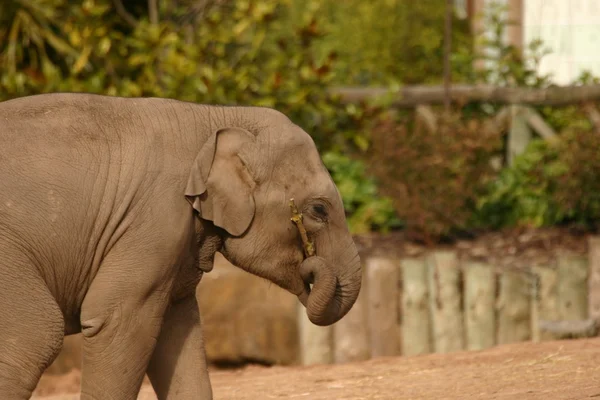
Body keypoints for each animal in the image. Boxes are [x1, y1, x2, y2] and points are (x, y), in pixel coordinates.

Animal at [0, 92, 360, 398]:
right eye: (319, 210)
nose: (310, 267)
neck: (216, 116)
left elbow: (178, 330)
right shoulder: (155, 216)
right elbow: (115, 317)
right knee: (37, 335)